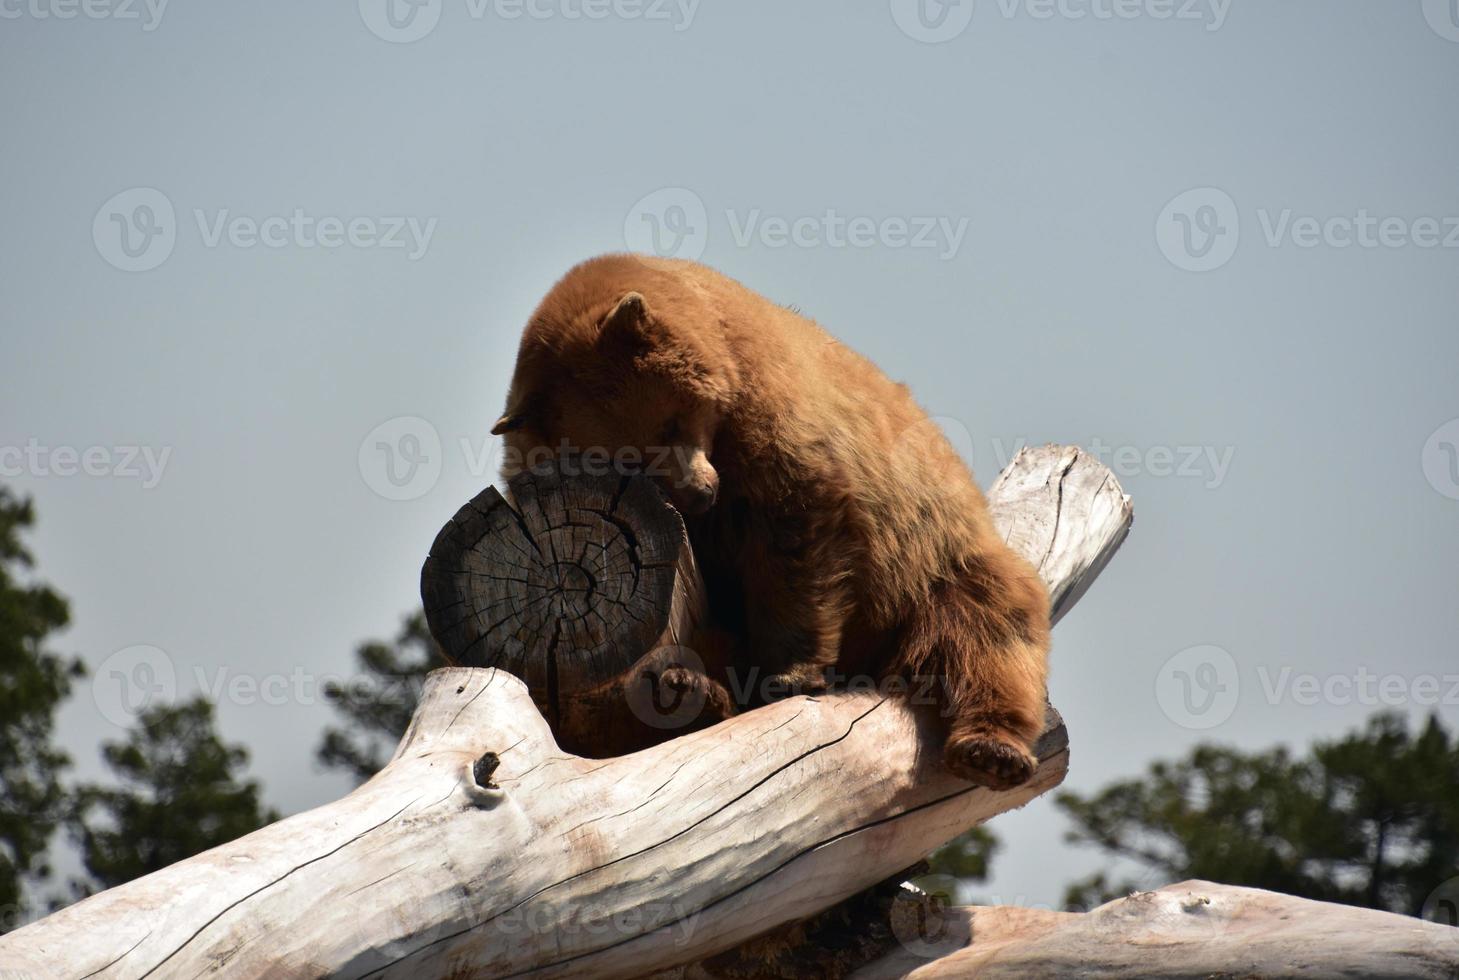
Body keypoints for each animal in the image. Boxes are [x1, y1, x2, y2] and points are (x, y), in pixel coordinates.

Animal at [490, 252, 1050, 787]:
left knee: (987, 626)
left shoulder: (769, 412)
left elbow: (794, 527)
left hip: (930, 559)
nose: (699, 494)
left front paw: (790, 673)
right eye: (628, 457)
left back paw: (992, 750)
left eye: (671, 421)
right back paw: (685, 692)